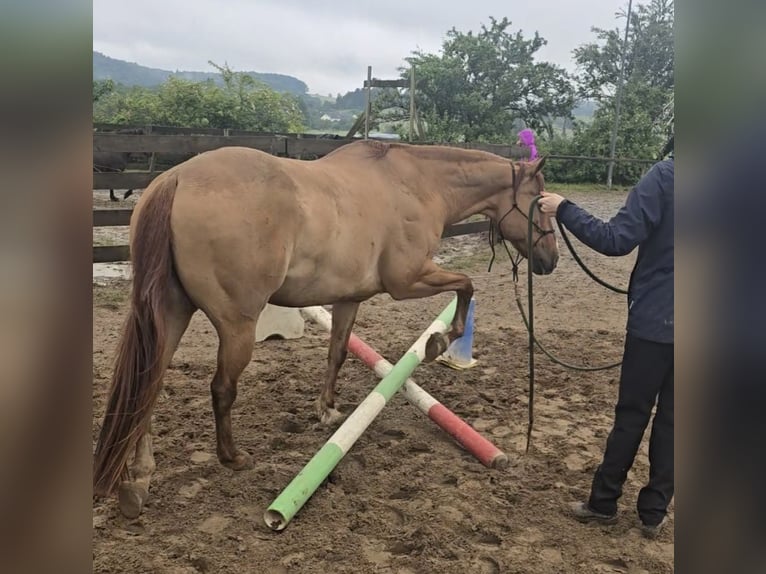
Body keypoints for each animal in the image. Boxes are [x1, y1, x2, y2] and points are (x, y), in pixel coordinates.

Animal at [92, 140, 559, 518]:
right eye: (539, 203)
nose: (550, 260)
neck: (415, 184)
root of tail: (176, 178)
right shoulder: (406, 281)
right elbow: (466, 284)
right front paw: (439, 341)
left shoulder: (349, 298)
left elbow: (336, 352)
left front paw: (328, 410)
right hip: (235, 324)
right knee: (221, 388)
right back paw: (231, 457)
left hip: (172, 314)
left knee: (148, 386)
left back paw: (137, 481)